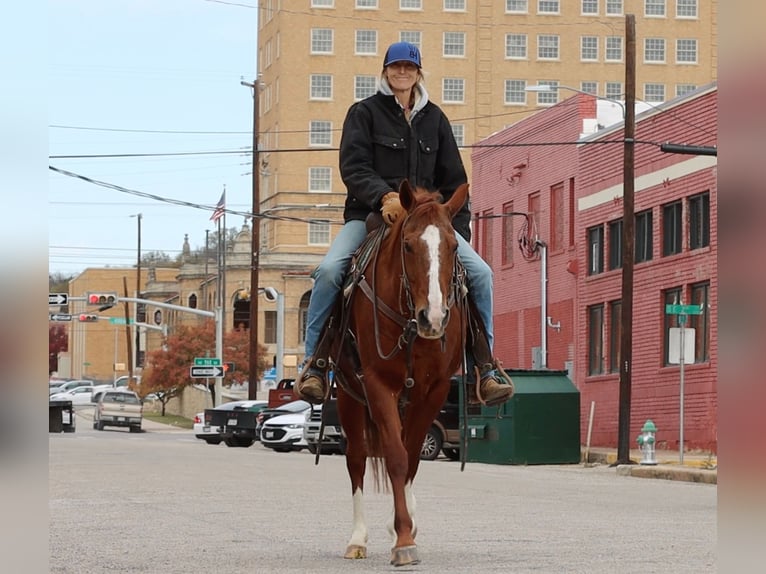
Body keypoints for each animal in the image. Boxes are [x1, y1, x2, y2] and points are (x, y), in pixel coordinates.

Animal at [328, 181, 468, 568]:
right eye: (408, 245)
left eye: (454, 246)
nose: (433, 317)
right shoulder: (377, 385)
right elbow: (395, 456)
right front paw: (403, 538)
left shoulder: (433, 391)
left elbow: (413, 457)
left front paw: (404, 529)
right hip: (348, 396)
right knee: (357, 458)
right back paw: (358, 539)